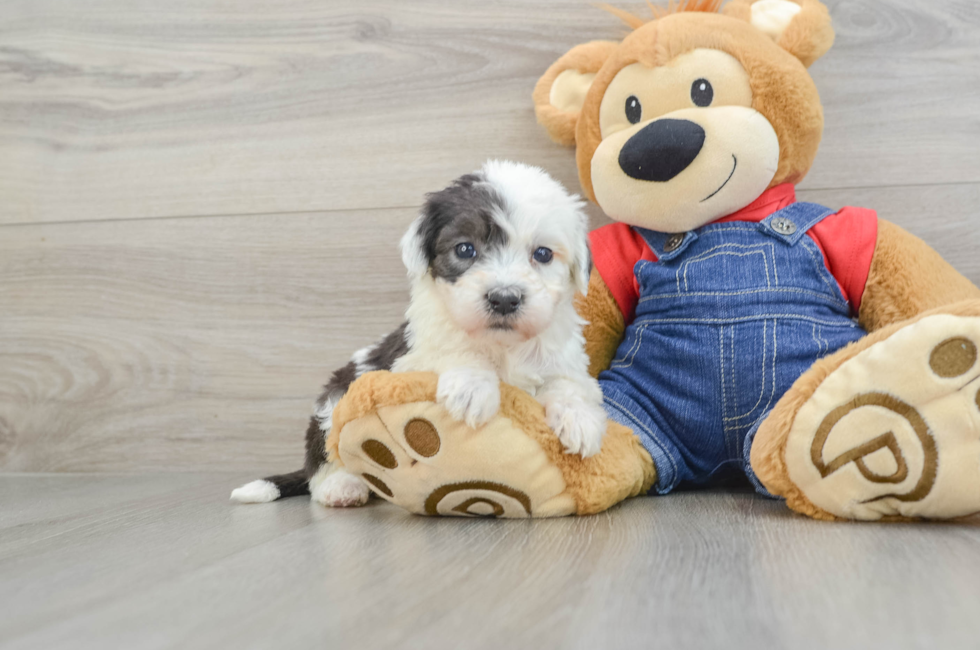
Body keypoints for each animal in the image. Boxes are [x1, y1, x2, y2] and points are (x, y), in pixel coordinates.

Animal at [234, 159, 608, 504]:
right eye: (465, 249)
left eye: (543, 254)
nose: (504, 298)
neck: (503, 346)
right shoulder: (409, 358)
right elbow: (450, 350)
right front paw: (472, 387)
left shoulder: (563, 360)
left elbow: (569, 384)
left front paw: (580, 420)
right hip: (337, 395)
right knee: (324, 459)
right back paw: (342, 486)